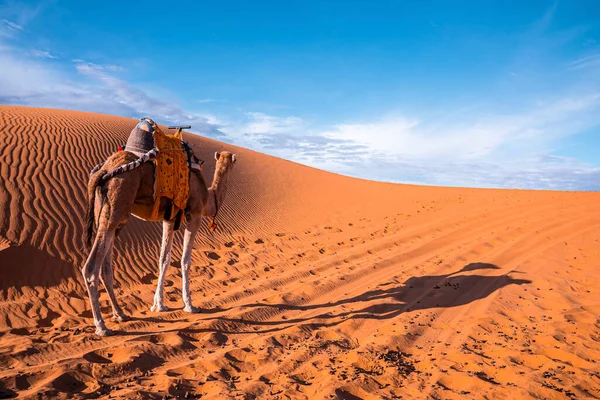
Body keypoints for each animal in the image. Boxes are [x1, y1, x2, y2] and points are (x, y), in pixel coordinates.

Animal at [82, 148, 237, 336]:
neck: (208, 198)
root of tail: (104, 170)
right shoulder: (194, 214)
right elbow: (185, 260)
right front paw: (189, 305)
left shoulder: (169, 219)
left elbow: (164, 259)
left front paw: (159, 305)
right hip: (117, 202)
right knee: (91, 268)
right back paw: (101, 326)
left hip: (108, 214)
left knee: (106, 268)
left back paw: (120, 314)